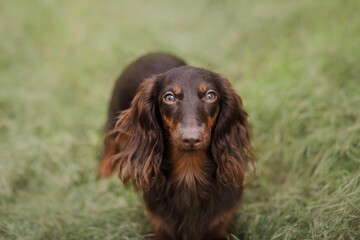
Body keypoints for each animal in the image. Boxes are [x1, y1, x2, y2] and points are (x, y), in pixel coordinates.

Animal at [98, 53, 253, 240]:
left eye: (210, 96)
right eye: (169, 97)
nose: (191, 138)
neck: (189, 173)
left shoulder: (221, 223)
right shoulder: (160, 226)